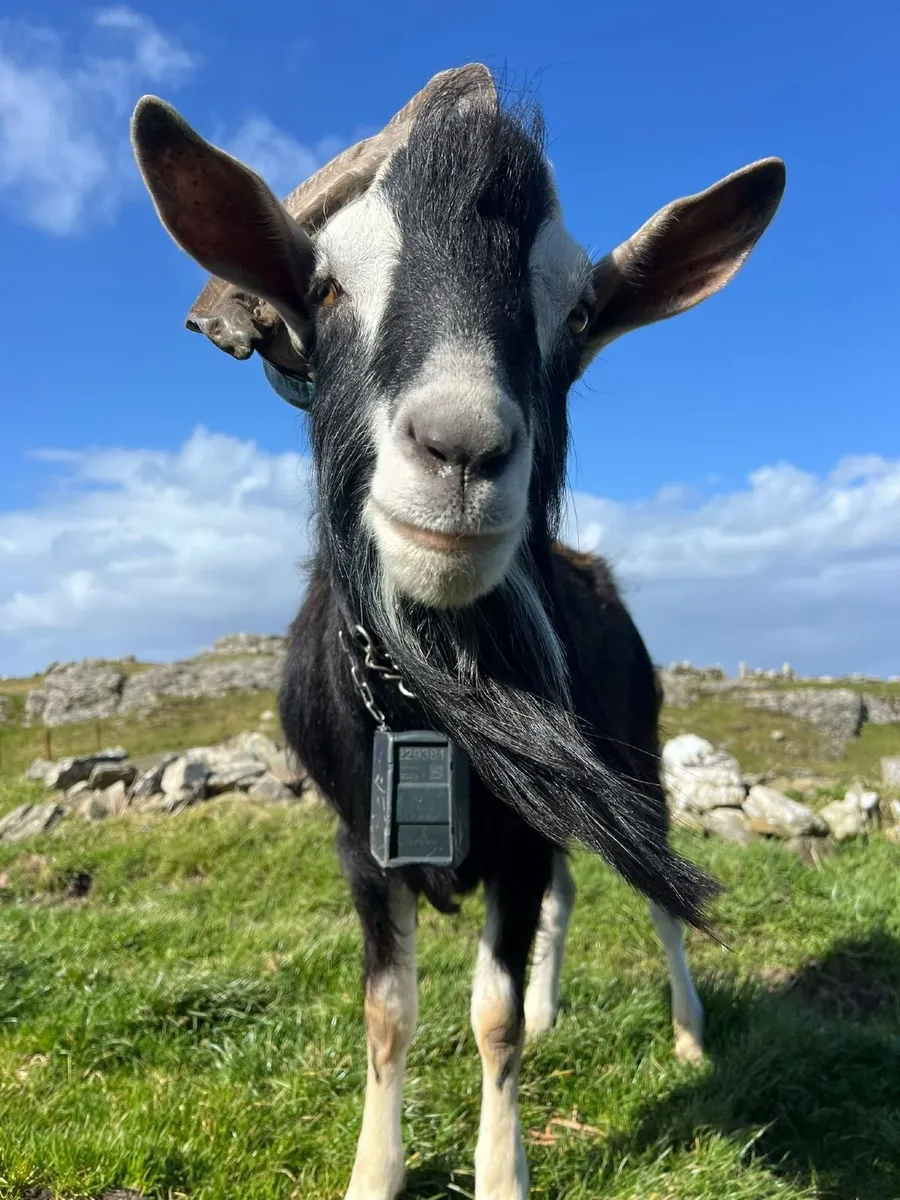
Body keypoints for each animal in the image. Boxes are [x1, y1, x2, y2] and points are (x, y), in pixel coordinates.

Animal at [131, 64, 785, 1200]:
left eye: (577, 313)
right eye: (326, 288)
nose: (462, 450)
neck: (425, 703)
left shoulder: (520, 840)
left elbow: (492, 1019)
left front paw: (502, 1173)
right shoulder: (359, 845)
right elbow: (389, 1016)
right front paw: (375, 1173)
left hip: (637, 754)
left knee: (650, 891)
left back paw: (690, 1031)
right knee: (573, 893)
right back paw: (565, 1008)